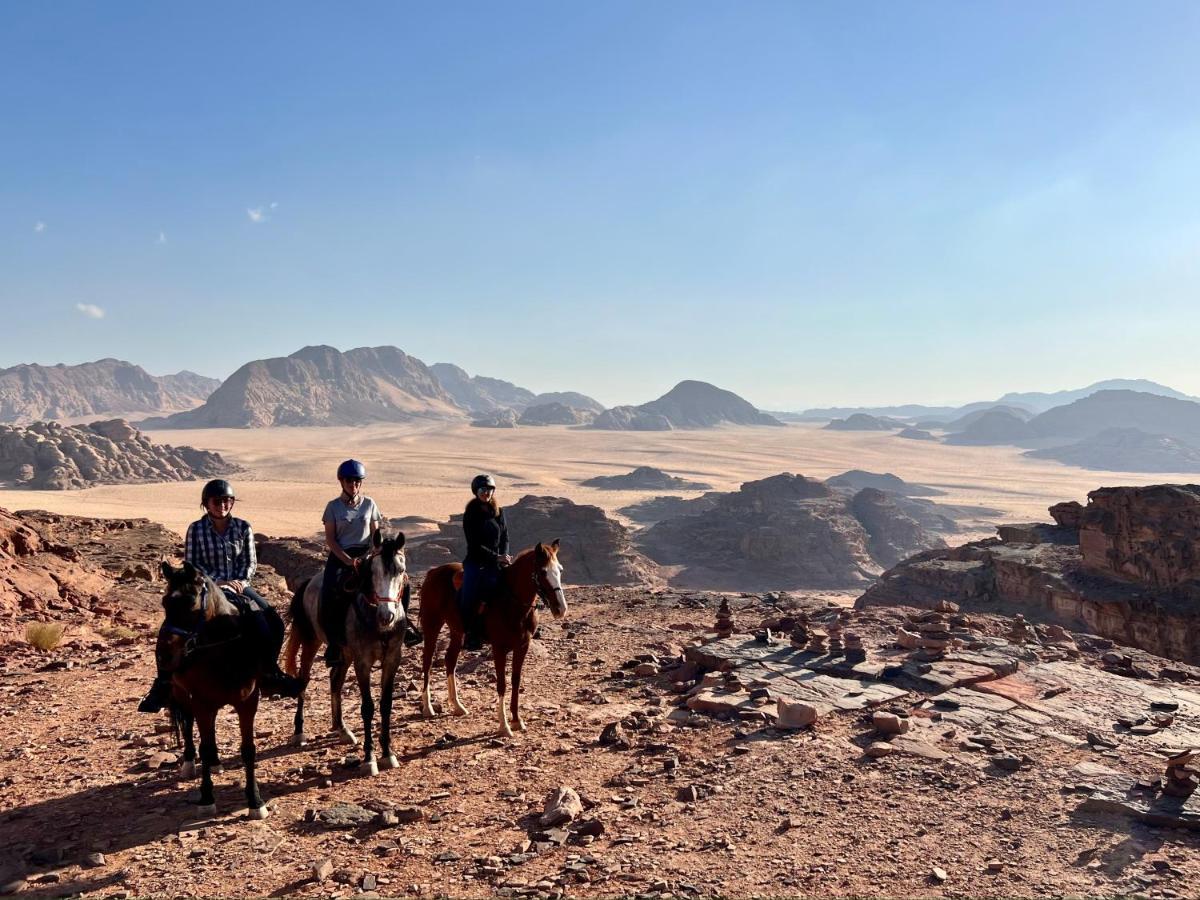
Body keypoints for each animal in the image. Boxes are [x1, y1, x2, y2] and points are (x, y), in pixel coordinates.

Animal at [157, 566, 272, 820]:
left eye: (191, 602)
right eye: (164, 602)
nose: (164, 656)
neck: (225, 654)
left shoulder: (248, 702)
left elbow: (248, 750)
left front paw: (255, 801)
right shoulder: (201, 702)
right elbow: (205, 747)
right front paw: (206, 799)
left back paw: (217, 762)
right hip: (182, 695)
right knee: (188, 725)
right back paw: (189, 763)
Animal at [280, 532, 408, 777]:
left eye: (400, 570)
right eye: (372, 571)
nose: (387, 615)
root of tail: (309, 582)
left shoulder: (392, 660)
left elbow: (386, 705)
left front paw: (388, 754)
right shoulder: (363, 662)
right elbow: (367, 707)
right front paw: (369, 759)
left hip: (344, 653)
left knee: (335, 680)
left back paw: (341, 729)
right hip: (311, 642)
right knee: (303, 680)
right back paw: (299, 731)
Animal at [417, 542, 566, 739]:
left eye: (560, 570)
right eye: (542, 572)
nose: (560, 608)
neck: (512, 603)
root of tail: (432, 572)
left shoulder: (522, 646)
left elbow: (516, 681)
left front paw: (517, 720)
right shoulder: (499, 648)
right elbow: (502, 684)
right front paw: (504, 726)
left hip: (457, 632)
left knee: (450, 660)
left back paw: (457, 706)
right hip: (432, 626)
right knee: (427, 661)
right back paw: (428, 707)